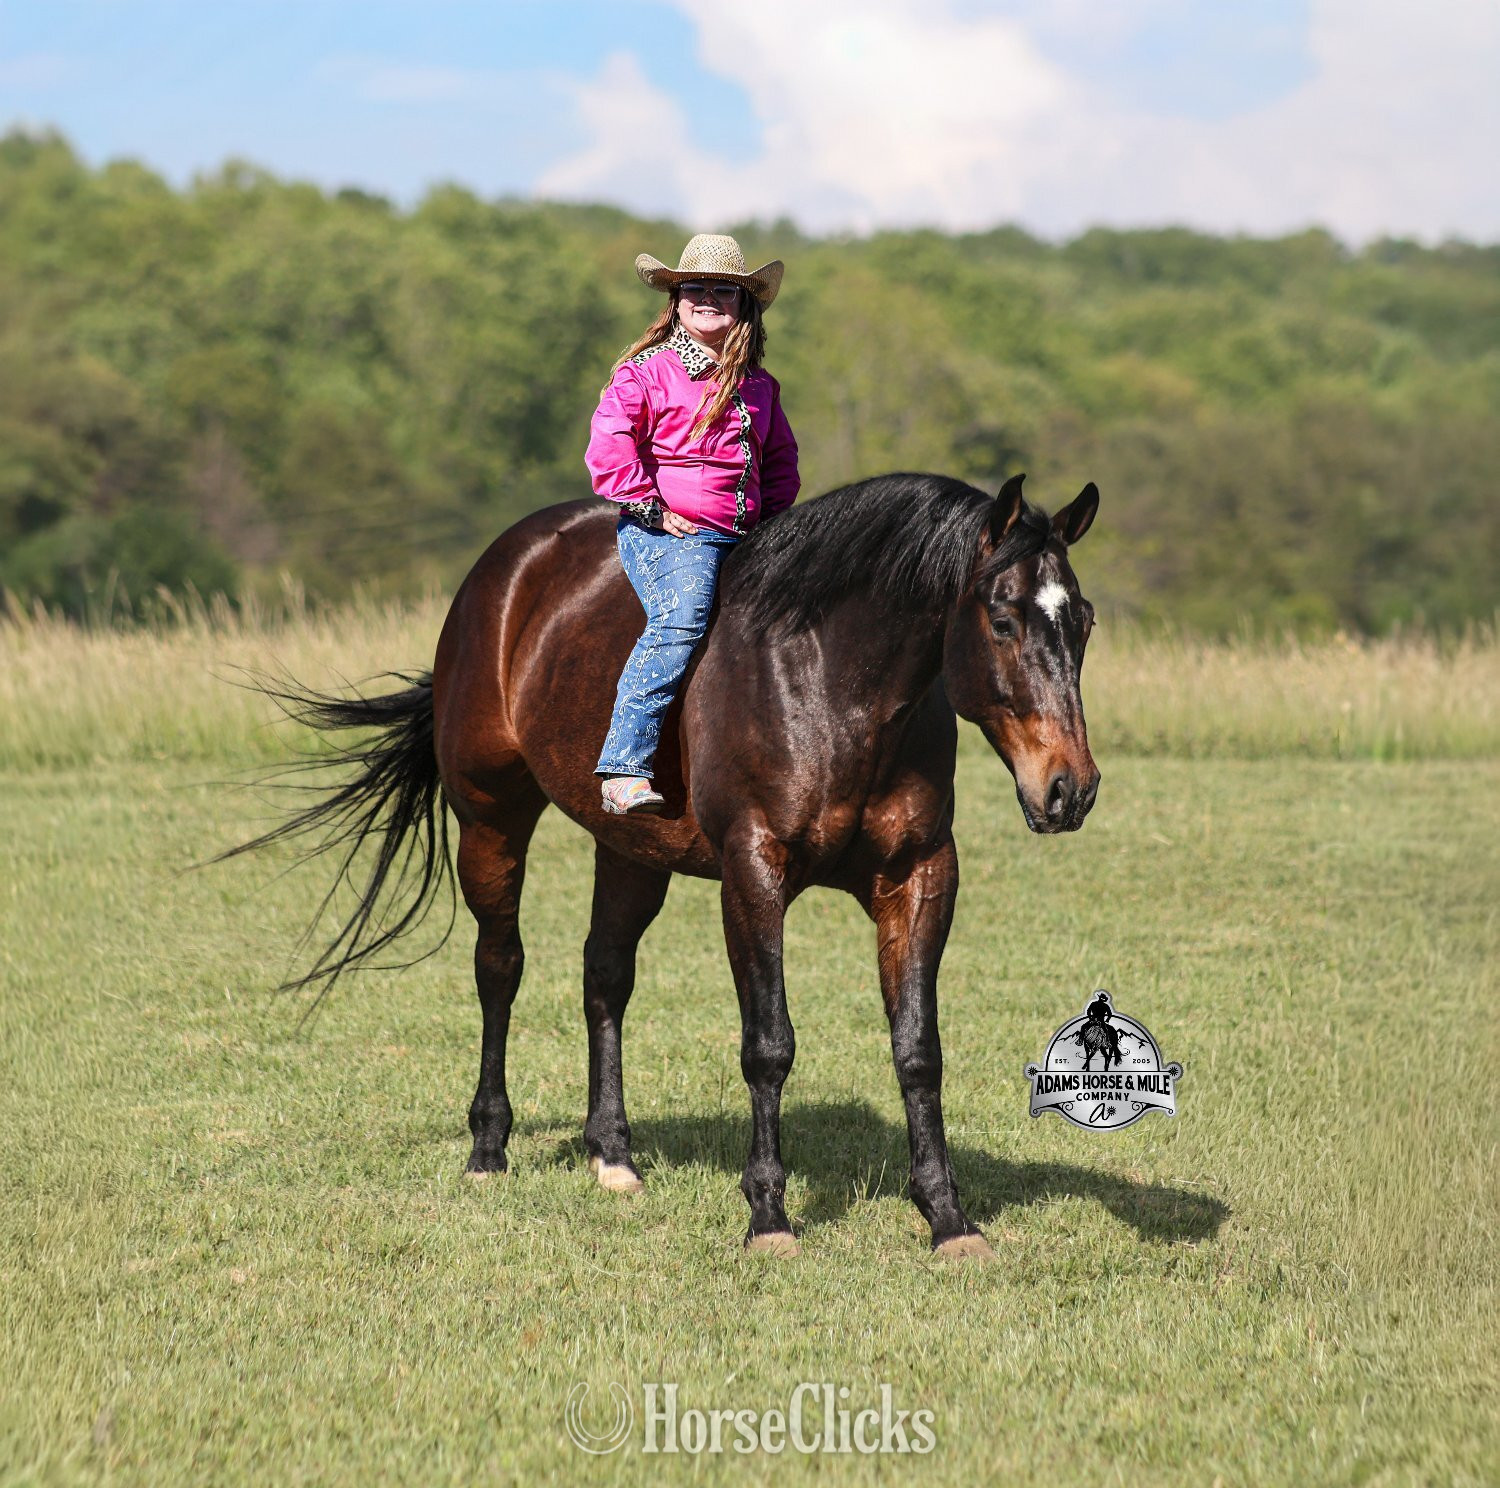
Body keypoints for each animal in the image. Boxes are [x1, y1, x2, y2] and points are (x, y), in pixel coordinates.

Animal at [227, 471, 1101, 1260]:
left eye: (1084, 622)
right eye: (1003, 618)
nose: (1070, 789)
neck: (826, 682)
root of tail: (503, 570)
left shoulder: (919, 876)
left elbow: (918, 1050)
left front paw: (948, 1219)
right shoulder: (754, 873)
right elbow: (768, 1045)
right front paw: (769, 1218)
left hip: (629, 852)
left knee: (603, 976)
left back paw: (612, 1154)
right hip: (491, 820)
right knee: (499, 966)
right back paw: (488, 1148)